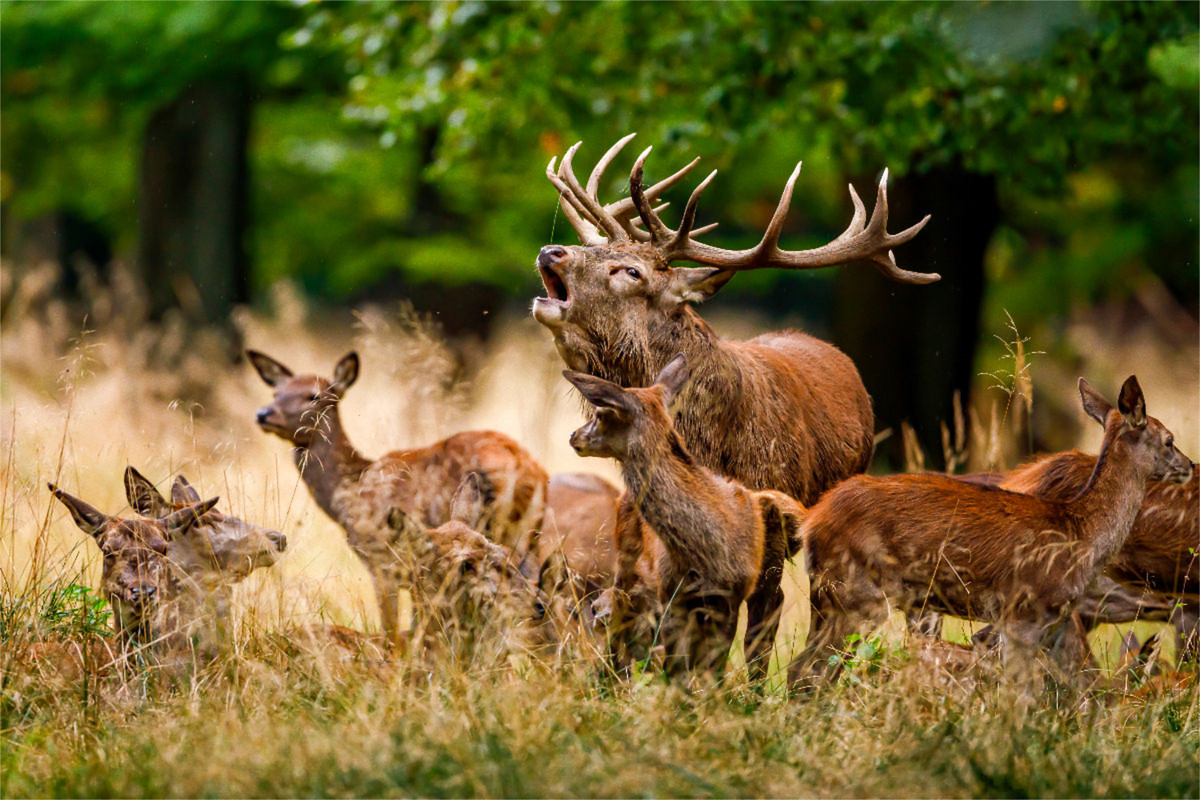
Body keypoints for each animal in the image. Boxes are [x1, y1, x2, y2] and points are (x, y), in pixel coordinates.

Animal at [248, 347, 549, 642]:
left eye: (314, 395)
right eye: (276, 392)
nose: (263, 414)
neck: (350, 490)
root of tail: (532, 470)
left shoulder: (381, 563)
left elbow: (391, 629)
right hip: (529, 536)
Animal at [564, 357, 806, 676]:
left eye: (602, 412)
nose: (574, 436)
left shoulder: (729, 595)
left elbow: (711, 666)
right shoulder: (671, 594)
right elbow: (677, 665)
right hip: (629, 565)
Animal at [792, 376, 1195, 690]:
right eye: (1169, 439)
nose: (1190, 465)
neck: (1081, 531)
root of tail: (810, 519)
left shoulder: (1057, 618)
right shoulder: (1023, 612)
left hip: (834, 598)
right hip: (854, 594)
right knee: (808, 672)